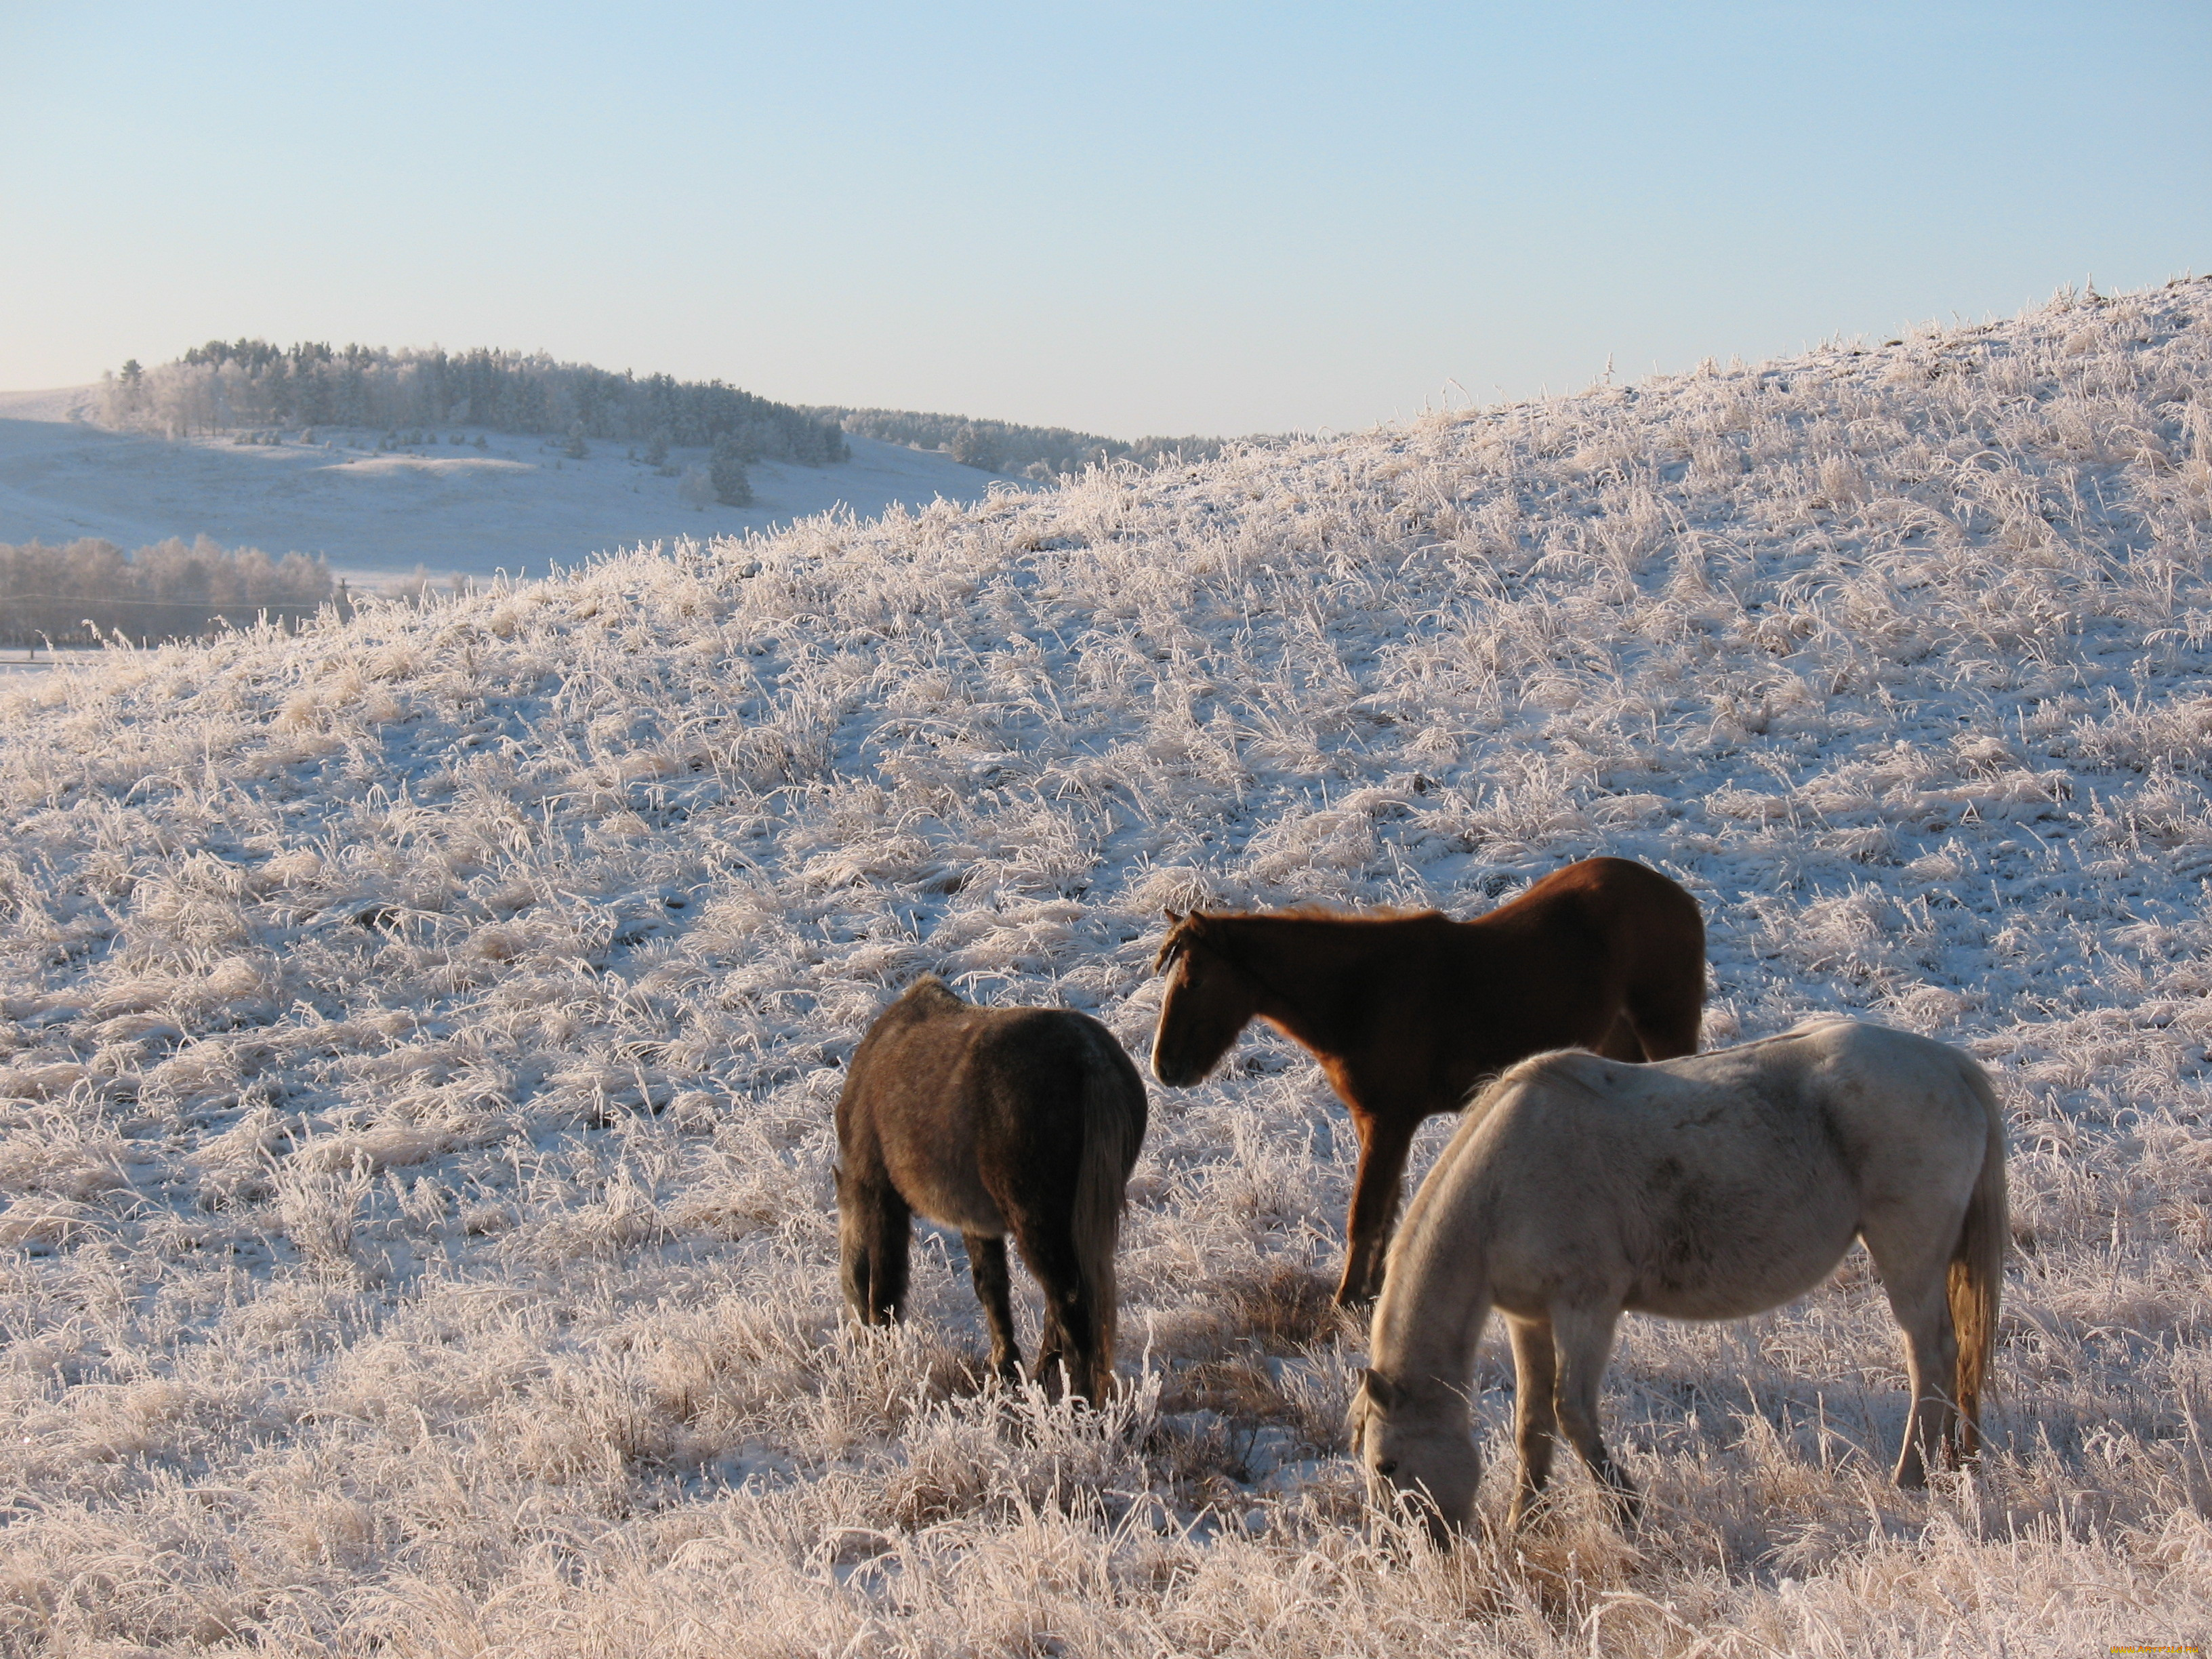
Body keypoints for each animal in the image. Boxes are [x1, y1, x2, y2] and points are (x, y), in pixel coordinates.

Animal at [827, 982, 1141, 1406]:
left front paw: (883, 1359)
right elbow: (991, 1289)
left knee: (1070, 1306)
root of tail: (1089, 1055)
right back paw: (1043, 1381)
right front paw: (1004, 1370)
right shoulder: (978, 1222)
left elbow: (887, 1288)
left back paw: (1077, 1403)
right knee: (1061, 1306)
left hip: (1038, 1222)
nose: (856, 1342)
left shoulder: (881, 1198)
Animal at [1150, 858, 1698, 1309]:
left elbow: (1367, 1212)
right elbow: (1387, 1208)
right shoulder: (1376, 1122)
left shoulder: (1389, 1120)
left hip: (1666, 1027)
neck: (1362, 994)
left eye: (1194, 981)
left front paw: (1347, 1300)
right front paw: (1371, 1291)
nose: (1165, 1067)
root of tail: (1675, 892)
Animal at [1345, 1021, 2008, 1539]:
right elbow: (1532, 1423)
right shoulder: (1528, 1318)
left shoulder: (1586, 1308)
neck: (1503, 1185)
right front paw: (1523, 1522)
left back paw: (1912, 1478)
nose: (1402, 1553)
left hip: (1908, 1256)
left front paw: (1626, 1512)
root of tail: (1950, 1065)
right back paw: (1949, 1464)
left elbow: (1571, 1410)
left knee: (1932, 1357)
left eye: (1386, 1465)